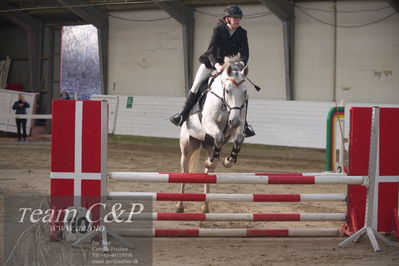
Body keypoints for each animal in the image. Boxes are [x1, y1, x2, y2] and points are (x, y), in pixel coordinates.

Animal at [177, 55, 248, 213]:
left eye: (245, 92)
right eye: (227, 91)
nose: (233, 121)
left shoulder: (239, 124)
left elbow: (238, 139)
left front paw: (228, 160)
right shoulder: (208, 122)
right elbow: (220, 136)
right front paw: (219, 160)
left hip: (208, 145)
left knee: (209, 172)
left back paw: (205, 206)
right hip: (187, 145)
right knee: (185, 171)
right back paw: (179, 205)